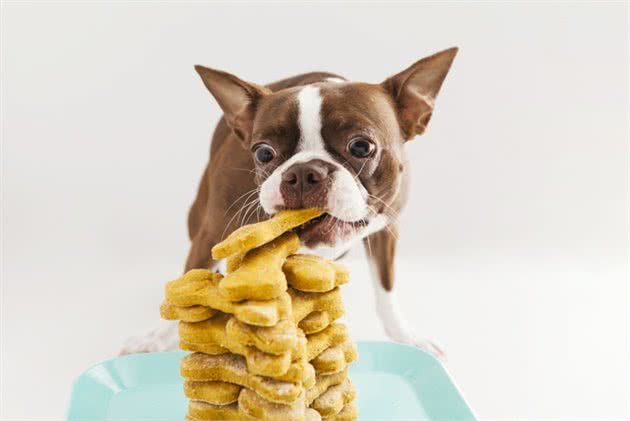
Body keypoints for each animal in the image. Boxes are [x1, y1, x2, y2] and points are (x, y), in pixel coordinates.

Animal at [122, 48, 460, 358]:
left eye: (362, 147)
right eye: (263, 153)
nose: (303, 173)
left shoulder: (385, 229)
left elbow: (385, 286)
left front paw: (406, 335)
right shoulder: (212, 232)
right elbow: (187, 282)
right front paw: (155, 338)